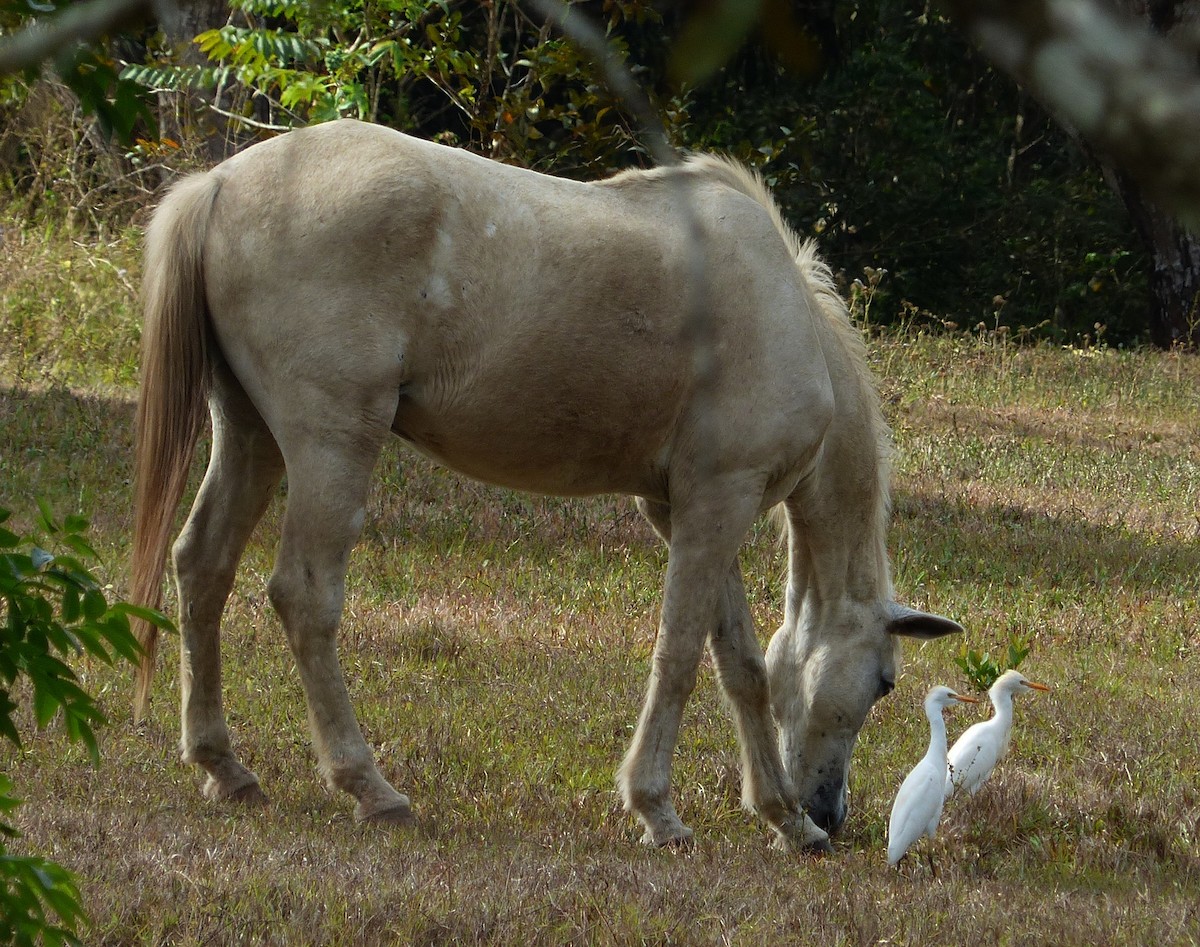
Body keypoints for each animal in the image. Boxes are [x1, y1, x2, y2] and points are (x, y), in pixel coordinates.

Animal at [131, 118, 960, 849]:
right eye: (883, 682)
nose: (831, 810)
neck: (784, 314)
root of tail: (219, 185)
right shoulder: (719, 502)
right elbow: (681, 652)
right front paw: (658, 809)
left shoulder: (692, 508)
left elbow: (742, 665)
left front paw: (782, 819)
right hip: (329, 444)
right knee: (304, 597)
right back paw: (371, 787)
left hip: (250, 435)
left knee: (201, 566)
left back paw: (225, 767)